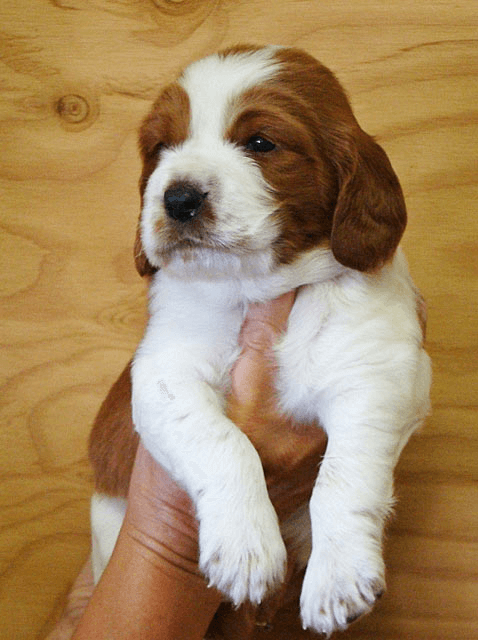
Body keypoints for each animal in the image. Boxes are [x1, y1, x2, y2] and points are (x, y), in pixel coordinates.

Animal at [88, 45, 432, 636]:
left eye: (261, 143)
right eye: (160, 148)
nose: (178, 198)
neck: (255, 287)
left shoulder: (378, 373)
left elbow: (342, 475)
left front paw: (337, 578)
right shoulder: (163, 372)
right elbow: (222, 442)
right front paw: (246, 551)